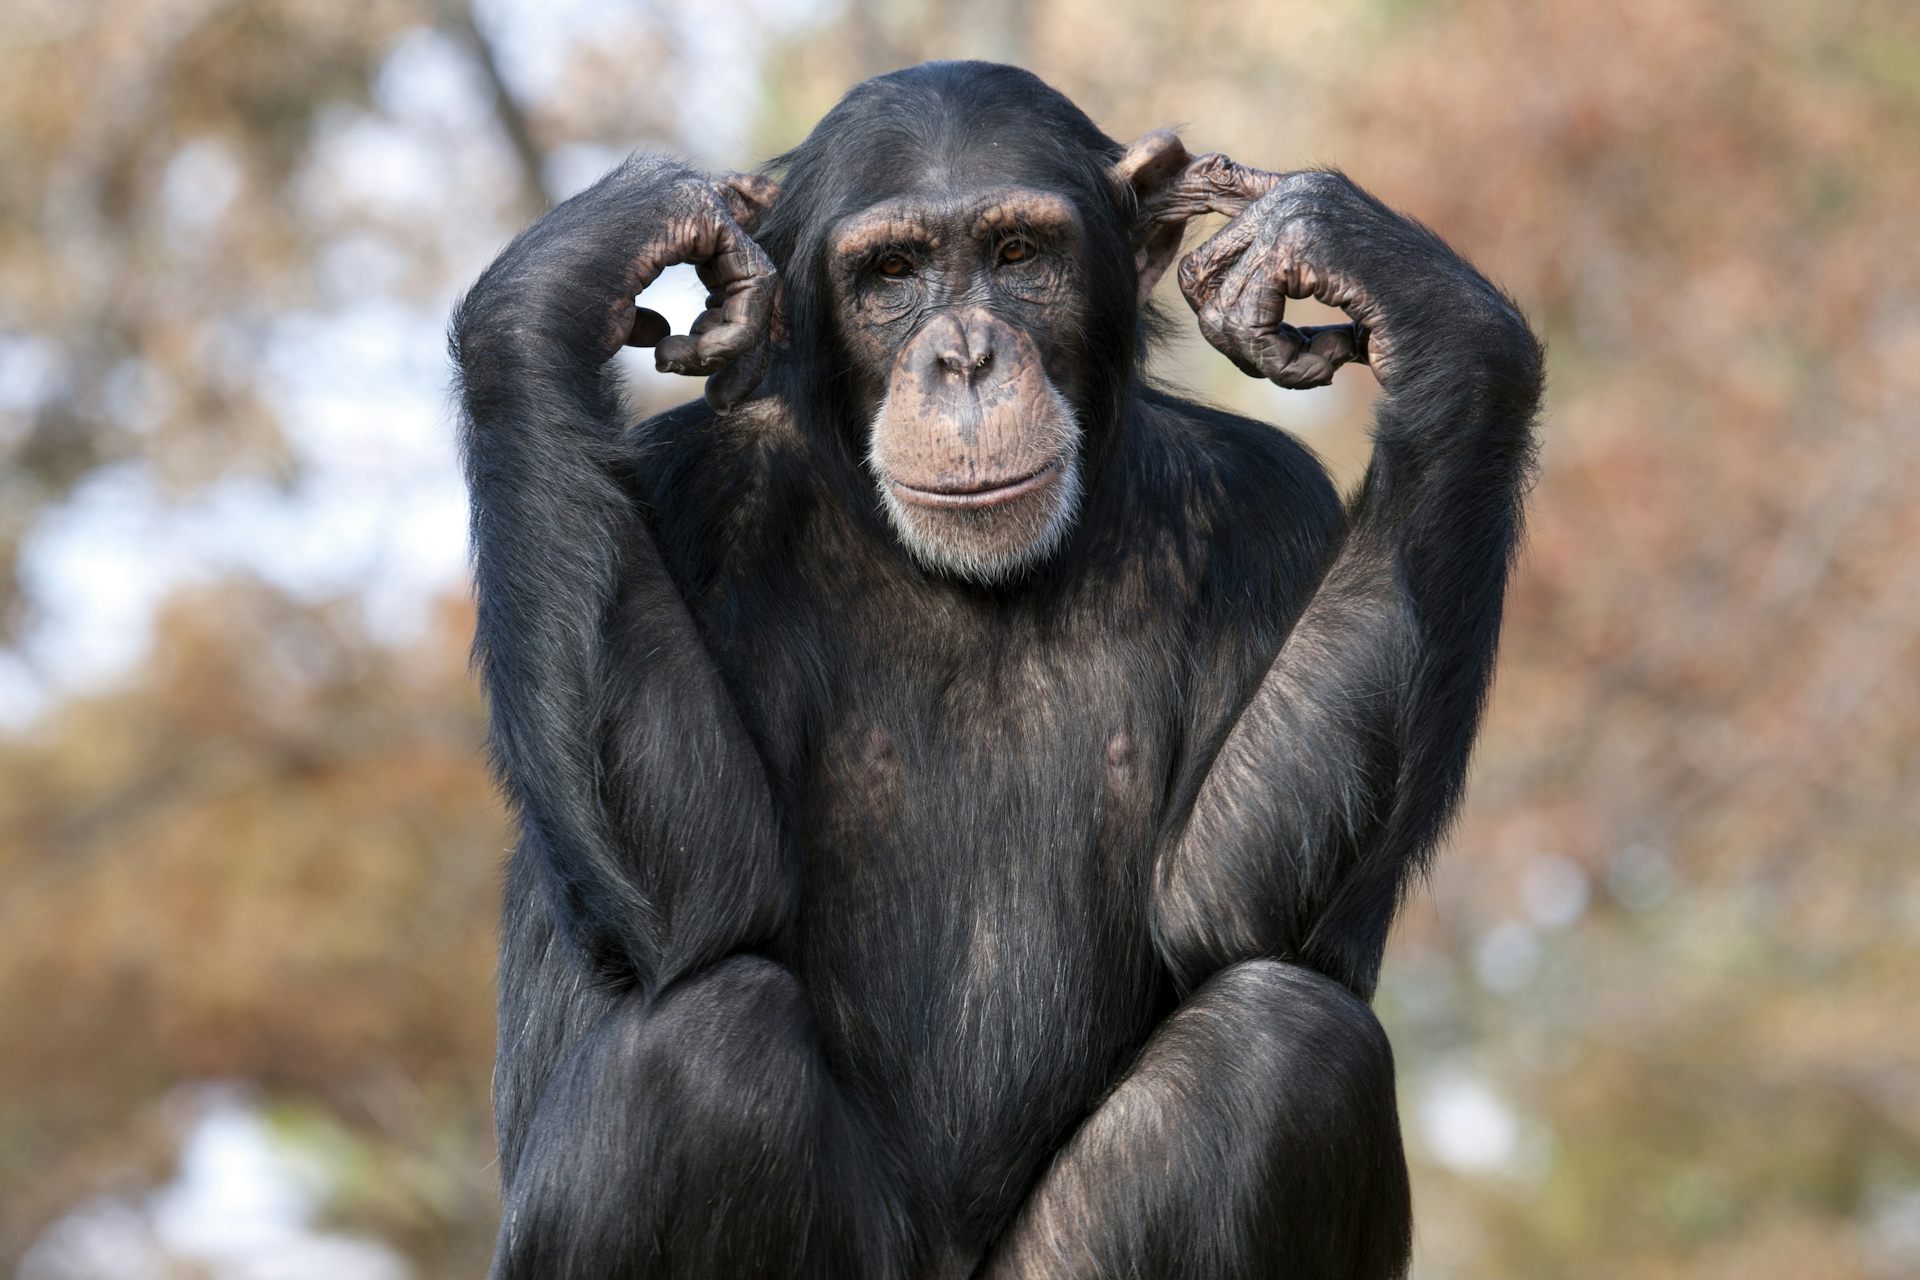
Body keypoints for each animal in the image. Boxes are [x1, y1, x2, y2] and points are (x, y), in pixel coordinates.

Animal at [449, 57, 1543, 1280]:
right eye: (892, 272)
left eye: (1020, 255)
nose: (965, 356)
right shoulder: (685, 493)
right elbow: (698, 891)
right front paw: (592, 254)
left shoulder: (1269, 509)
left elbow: (1237, 901)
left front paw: (1376, 269)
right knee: (701, 1056)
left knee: (1289, 1041)